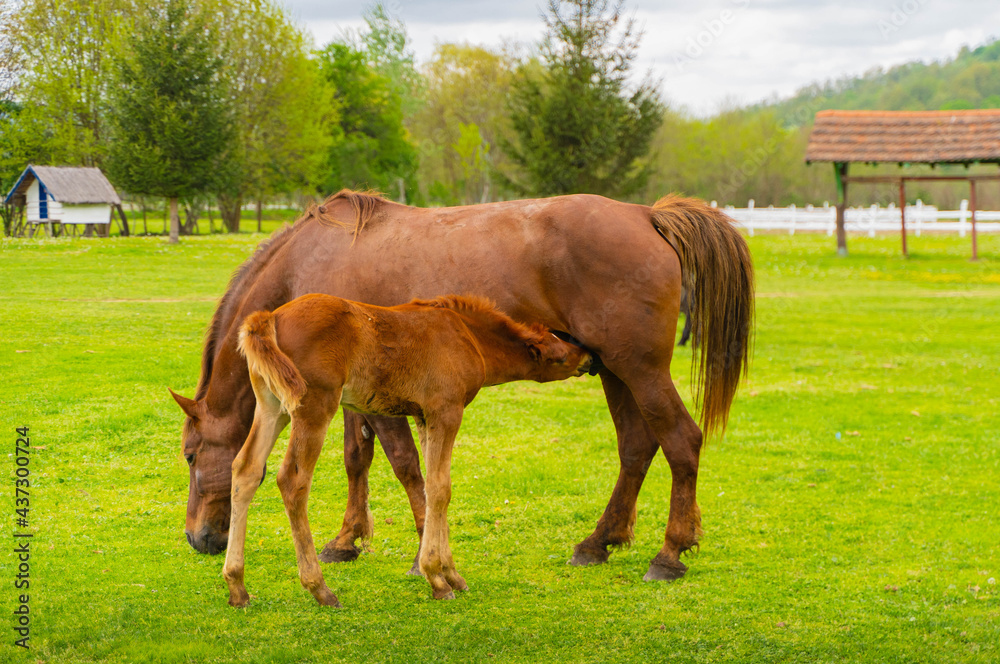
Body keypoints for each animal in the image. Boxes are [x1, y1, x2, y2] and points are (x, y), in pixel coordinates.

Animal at [223, 292, 588, 608]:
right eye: (561, 354)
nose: (588, 357)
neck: (468, 335)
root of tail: (269, 317)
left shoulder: (424, 417)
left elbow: (431, 489)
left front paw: (450, 573)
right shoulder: (446, 411)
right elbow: (440, 489)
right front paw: (437, 579)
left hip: (273, 406)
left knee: (246, 470)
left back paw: (237, 586)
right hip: (313, 404)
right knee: (292, 481)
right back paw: (320, 588)